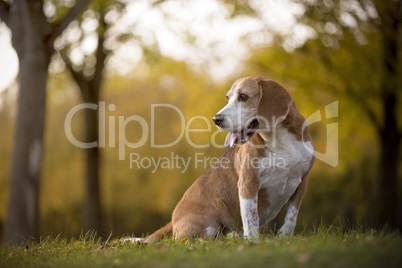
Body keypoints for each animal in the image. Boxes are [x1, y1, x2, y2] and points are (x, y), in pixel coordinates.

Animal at [144, 75, 314, 241]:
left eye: (243, 96)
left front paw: (285, 235)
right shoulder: (248, 183)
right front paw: (252, 241)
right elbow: (251, 219)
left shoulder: (303, 181)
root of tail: (173, 220)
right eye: (228, 98)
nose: (216, 119)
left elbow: (292, 215)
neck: (279, 139)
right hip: (208, 221)